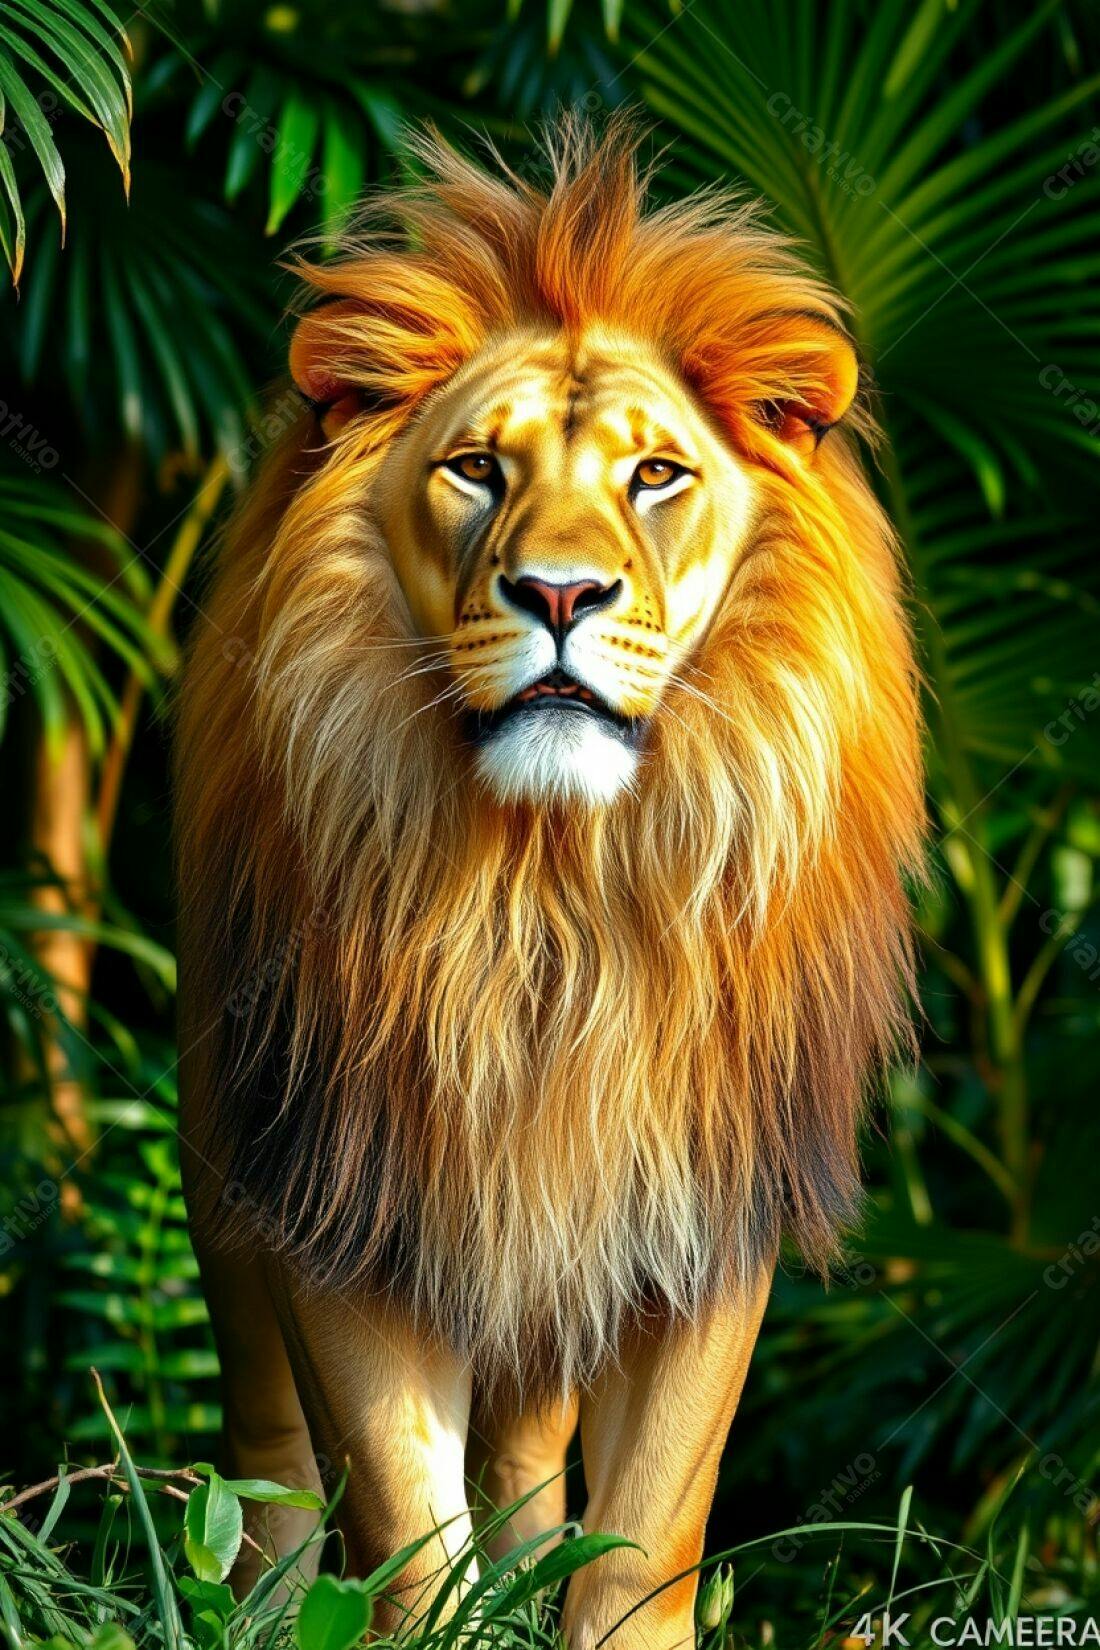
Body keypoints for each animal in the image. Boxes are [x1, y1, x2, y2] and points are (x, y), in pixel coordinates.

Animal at [176, 118, 923, 1647]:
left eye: (656, 477)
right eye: (474, 468)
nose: (562, 594)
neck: (553, 891)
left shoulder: (693, 1204)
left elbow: (648, 1528)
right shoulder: (351, 1184)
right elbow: (404, 1513)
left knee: (527, 1448)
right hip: (227, 1141)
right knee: (267, 1441)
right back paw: (261, 1599)